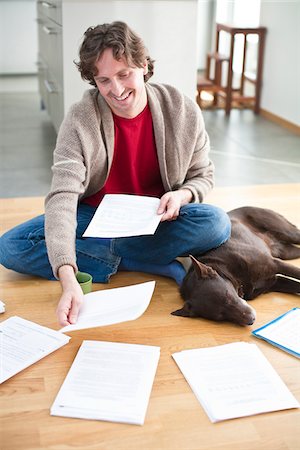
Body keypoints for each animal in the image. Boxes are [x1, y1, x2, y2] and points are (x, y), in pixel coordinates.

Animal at [172, 206, 300, 326]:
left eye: (228, 296)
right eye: (221, 316)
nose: (251, 320)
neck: (227, 268)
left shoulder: (275, 264)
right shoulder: (274, 282)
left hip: (287, 233)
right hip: (287, 252)